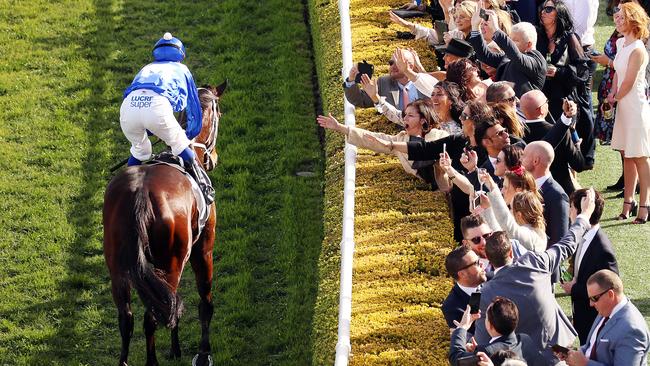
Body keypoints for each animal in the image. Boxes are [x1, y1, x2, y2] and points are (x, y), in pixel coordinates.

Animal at [103, 83, 225, 366]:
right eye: (220, 115)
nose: (213, 158)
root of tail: (139, 194)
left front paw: (175, 349)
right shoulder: (203, 248)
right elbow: (205, 302)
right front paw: (203, 353)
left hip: (118, 266)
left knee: (127, 317)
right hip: (170, 262)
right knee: (152, 315)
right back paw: (152, 362)